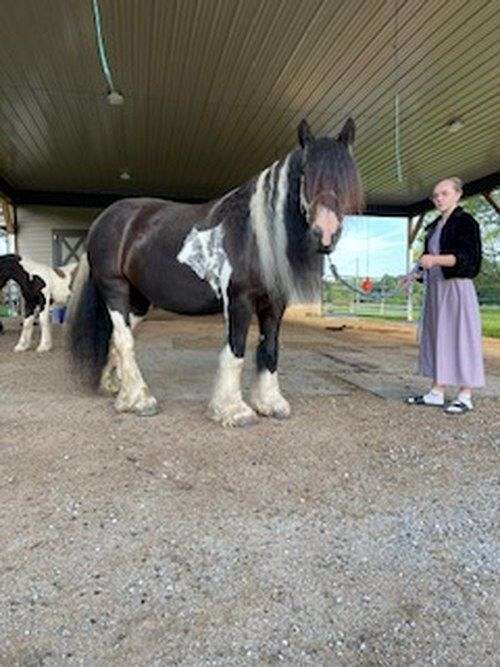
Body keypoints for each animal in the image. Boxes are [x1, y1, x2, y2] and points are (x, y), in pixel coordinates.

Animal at [67, 118, 363, 425]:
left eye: (346, 177)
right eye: (305, 173)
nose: (325, 233)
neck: (254, 235)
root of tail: (103, 220)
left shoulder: (275, 303)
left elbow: (270, 348)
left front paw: (270, 404)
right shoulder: (239, 299)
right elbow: (236, 351)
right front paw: (233, 410)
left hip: (138, 300)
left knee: (117, 338)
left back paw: (116, 389)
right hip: (114, 288)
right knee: (124, 340)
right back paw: (139, 401)